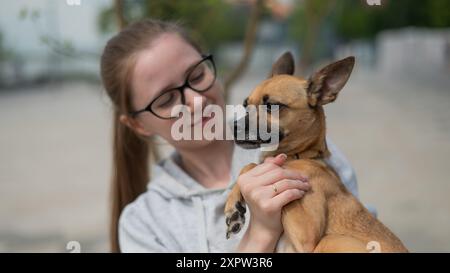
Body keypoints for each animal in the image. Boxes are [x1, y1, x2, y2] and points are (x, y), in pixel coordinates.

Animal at [225, 52, 408, 252]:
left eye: (272, 105)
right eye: (245, 105)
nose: (233, 127)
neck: (298, 156)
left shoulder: (306, 236)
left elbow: (251, 165)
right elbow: (249, 168)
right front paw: (233, 207)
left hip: (330, 240)